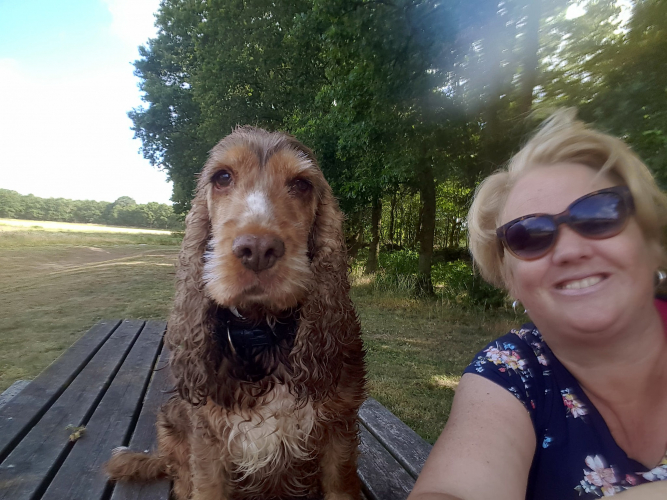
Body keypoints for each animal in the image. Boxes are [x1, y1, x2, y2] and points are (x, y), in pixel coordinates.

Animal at [105, 127, 366, 498]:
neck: (263, 334)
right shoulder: (207, 441)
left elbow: (340, 485)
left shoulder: (339, 429)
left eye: (302, 184)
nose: (257, 250)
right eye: (222, 177)